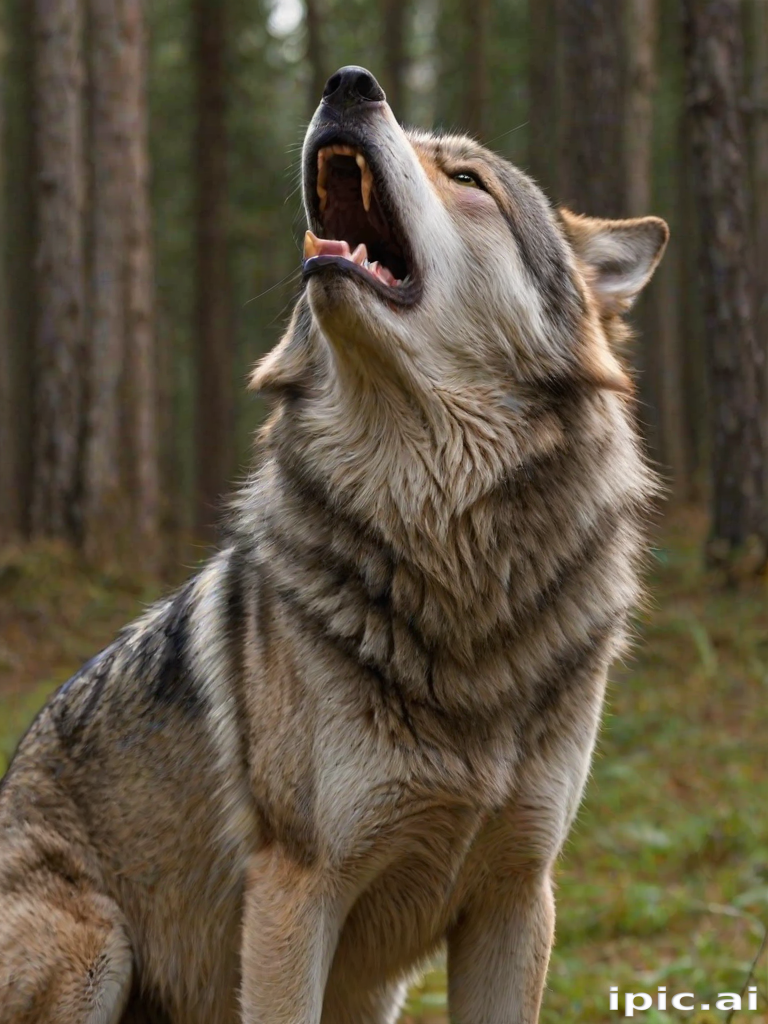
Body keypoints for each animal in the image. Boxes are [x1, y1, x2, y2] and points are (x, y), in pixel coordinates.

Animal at [0, 66, 667, 1024]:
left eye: (468, 179)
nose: (350, 82)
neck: (446, 549)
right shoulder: (295, 894)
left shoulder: (518, 896)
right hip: (95, 949)